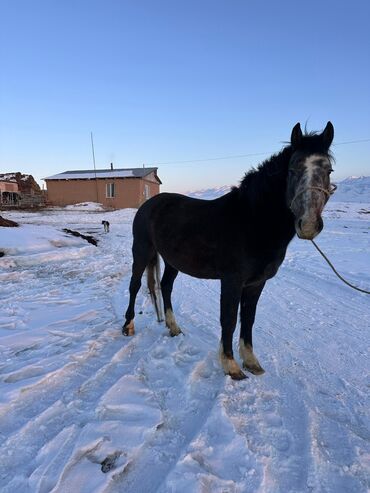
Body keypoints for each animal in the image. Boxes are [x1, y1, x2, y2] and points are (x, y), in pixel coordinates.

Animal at [122, 121, 336, 378]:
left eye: (329, 171)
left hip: (173, 261)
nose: (309, 224)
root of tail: (149, 204)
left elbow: (248, 318)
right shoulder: (232, 280)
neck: (252, 221)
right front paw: (231, 365)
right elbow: (229, 319)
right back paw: (128, 325)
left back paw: (174, 327)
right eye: (293, 169)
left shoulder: (256, 283)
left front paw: (251, 362)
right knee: (134, 286)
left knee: (165, 286)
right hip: (141, 251)